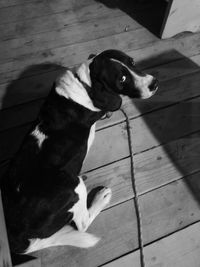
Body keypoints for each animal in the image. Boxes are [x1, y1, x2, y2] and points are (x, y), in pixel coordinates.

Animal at [1, 49, 158, 254]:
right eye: (122, 79)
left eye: (132, 62)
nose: (154, 84)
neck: (85, 81)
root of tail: (19, 240)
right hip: (71, 184)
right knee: (82, 224)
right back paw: (101, 198)